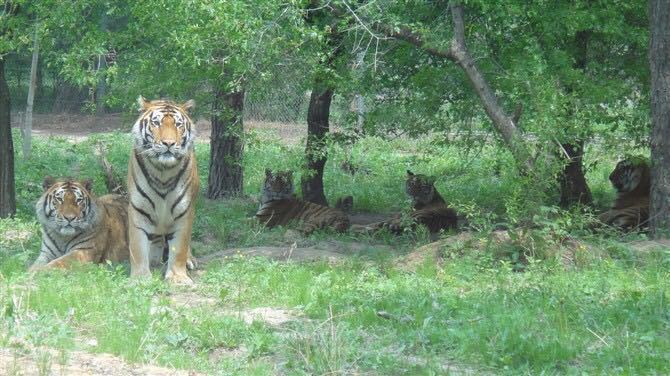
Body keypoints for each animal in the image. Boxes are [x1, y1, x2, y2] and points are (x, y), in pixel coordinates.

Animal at [127, 97, 198, 284]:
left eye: (178, 124)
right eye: (156, 123)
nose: (169, 143)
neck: (163, 172)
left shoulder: (184, 212)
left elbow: (179, 249)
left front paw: (178, 278)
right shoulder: (138, 210)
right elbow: (137, 247)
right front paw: (140, 278)